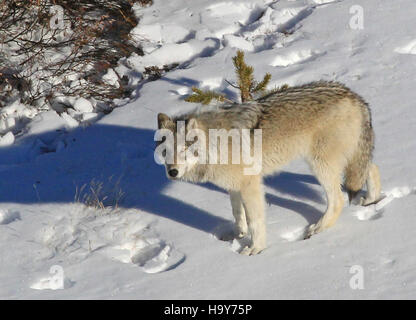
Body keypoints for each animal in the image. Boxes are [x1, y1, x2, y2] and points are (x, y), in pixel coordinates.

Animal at [155, 81, 380, 256]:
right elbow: (237, 213)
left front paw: (256, 249)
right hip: (349, 158)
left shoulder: (250, 184)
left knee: (338, 200)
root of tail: (354, 96)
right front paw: (238, 235)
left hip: (320, 165)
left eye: (184, 149)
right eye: (166, 151)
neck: (216, 144)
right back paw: (372, 200)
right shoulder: (234, 186)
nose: (172, 172)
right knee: (372, 168)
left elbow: (255, 220)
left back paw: (317, 229)